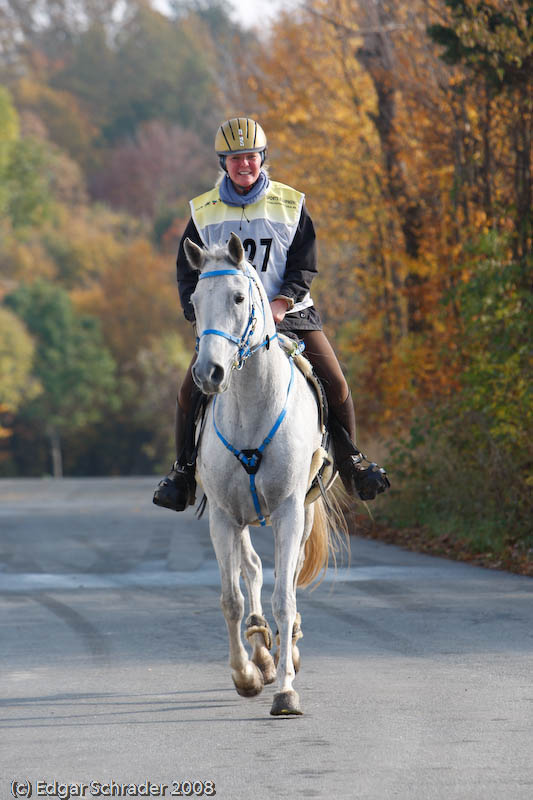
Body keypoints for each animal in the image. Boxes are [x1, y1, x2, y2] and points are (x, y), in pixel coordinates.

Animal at [183, 231, 340, 720]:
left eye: (238, 297)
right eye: (194, 301)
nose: (208, 373)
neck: (252, 405)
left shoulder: (289, 511)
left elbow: (285, 597)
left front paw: (286, 692)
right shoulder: (222, 517)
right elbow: (232, 599)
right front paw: (247, 676)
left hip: (301, 514)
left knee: (286, 579)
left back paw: (285, 652)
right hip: (241, 517)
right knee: (250, 571)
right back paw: (261, 650)